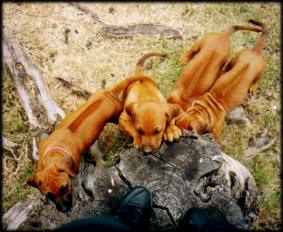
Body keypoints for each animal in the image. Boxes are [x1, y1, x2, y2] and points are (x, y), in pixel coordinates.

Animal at [26, 75, 153, 212]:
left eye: (64, 188)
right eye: (49, 194)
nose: (65, 210)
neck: (56, 151)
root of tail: (109, 93)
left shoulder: (76, 165)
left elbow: (77, 177)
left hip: (117, 115)